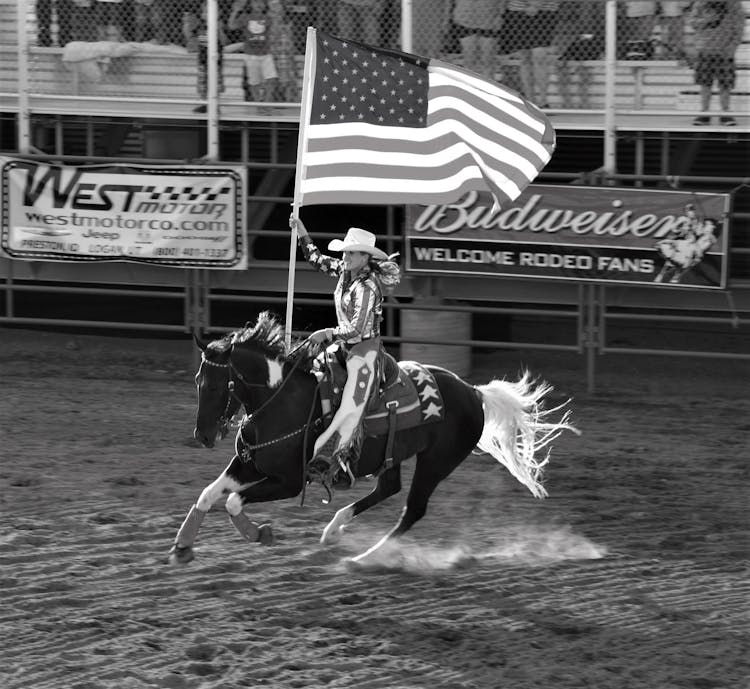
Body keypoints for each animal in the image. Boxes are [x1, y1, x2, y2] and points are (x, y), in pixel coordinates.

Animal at [170, 312, 580, 564]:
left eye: (217, 385)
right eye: (197, 380)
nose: (202, 436)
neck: (282, 401)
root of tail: (472, 392)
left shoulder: (288, 481)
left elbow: (233, 501)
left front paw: (261, 534)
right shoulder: (249, 464)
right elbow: (209, 493)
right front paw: (182, 547)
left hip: (436, 462)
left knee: (412, 509)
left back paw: (363, 558)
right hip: (394, 454)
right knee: (389, 488)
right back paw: (334, 529)